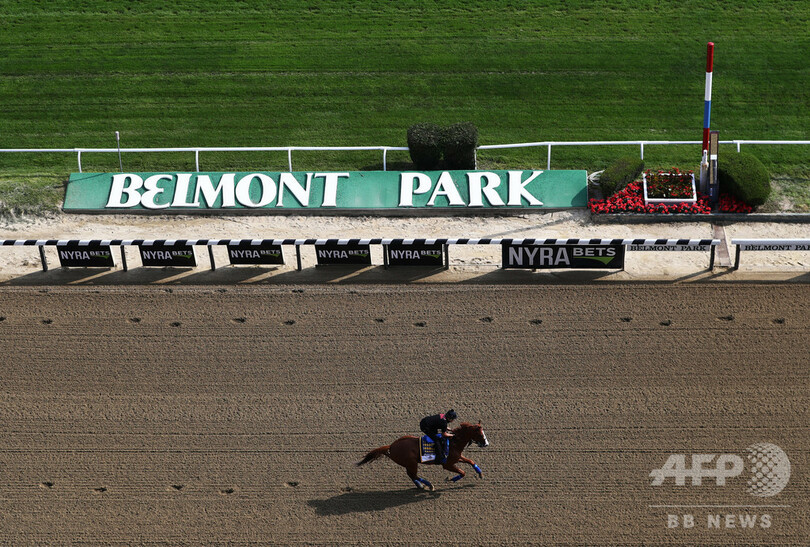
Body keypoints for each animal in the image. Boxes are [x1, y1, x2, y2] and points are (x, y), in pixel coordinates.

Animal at [354, 422, 486, 490]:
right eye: (479, 434)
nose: (486, 443)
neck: (453, 441)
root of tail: (391, 446)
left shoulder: (457, 457)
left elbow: (471, 461)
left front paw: (480, 473)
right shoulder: (447, 464)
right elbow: (462, 472)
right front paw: (451, 479)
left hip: (409, 464)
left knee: (412, 475)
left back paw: (420, 485)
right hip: (412, 463)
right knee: (413, 475)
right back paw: (428, 485)